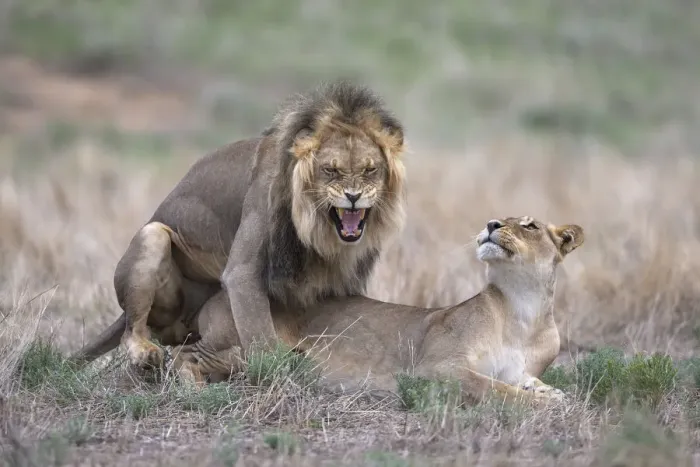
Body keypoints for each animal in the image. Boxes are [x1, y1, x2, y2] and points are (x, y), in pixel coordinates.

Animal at [70, 81, 407, 369]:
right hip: (152, 237)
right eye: (330, 171)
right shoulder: (244, 265)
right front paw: (278, 368)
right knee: (132, 329)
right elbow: (260, 332)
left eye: (370, 170)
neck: (319, 234)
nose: (353, 196)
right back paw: (145, 352)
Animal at [168, 216, 584, 405]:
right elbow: (492, 387)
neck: (521, 308)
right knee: (182, 354)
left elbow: (524, 381)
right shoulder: (436, 368)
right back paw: (193, 389)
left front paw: (551, 393)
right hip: (251, 349)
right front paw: (543, 404)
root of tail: (217, 291)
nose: (491, 224)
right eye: (499, 218)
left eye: (529, 225)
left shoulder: (522, 368)